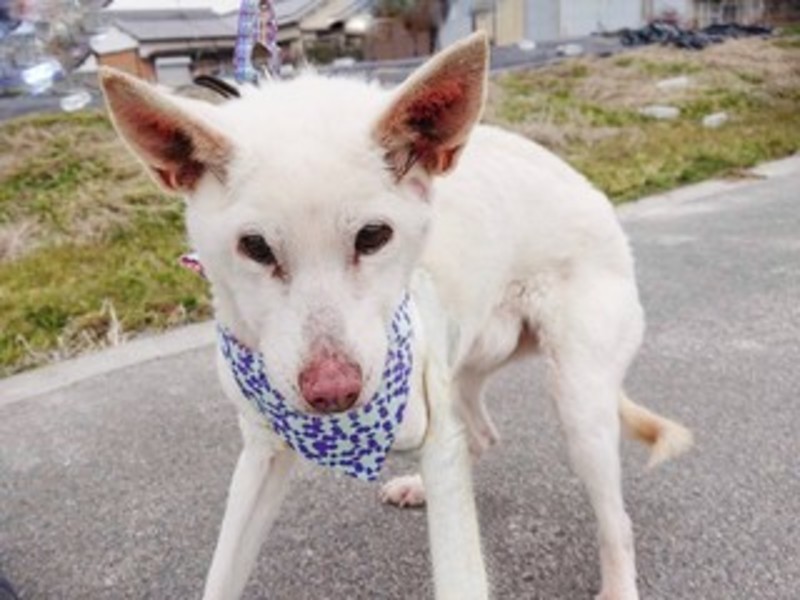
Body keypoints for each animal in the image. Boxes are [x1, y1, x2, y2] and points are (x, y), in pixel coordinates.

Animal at [99, 32, 692, 600]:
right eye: (255, 247)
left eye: (373, 236)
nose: (332, 391)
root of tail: (587, 188)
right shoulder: (262, 454)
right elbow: (221, 574)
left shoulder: (433, 432)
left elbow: (460, 566)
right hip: (465, 362)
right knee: (479, 435)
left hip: (578, 401)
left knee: (615, 520)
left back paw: (617, 585)